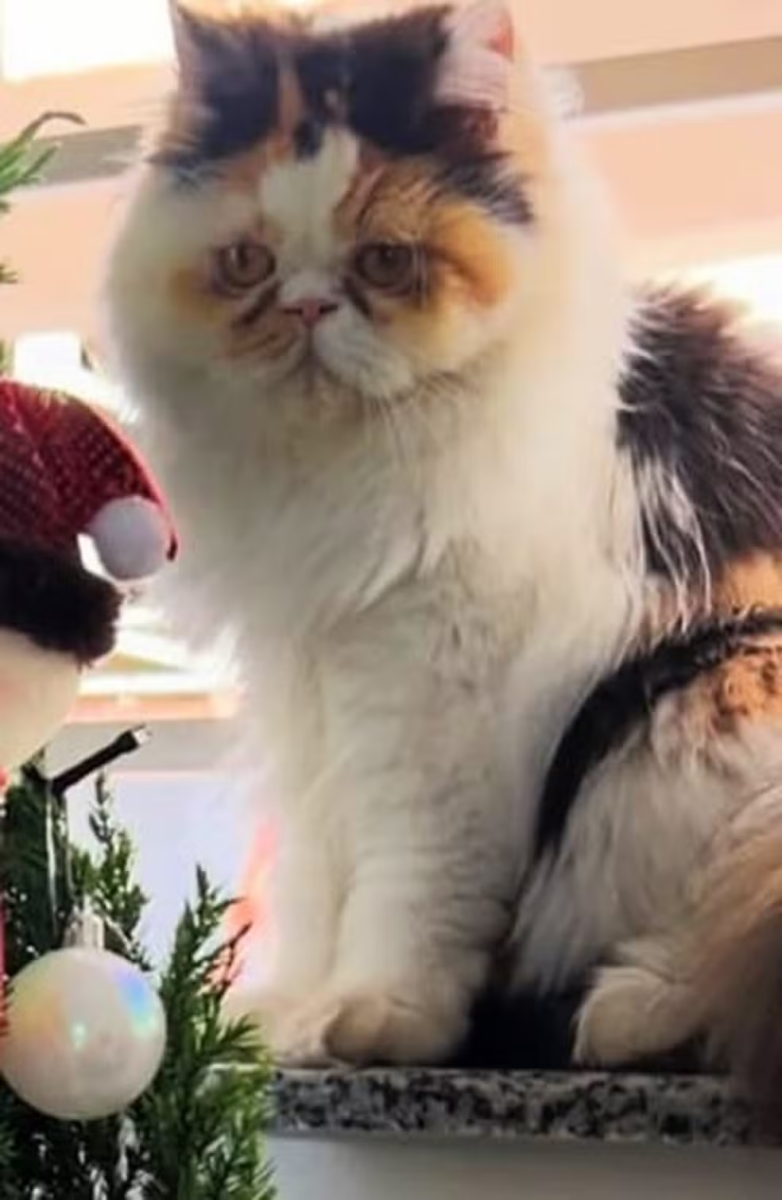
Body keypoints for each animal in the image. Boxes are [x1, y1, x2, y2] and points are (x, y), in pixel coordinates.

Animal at [105, 0, 782, 1100]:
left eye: (384, 260)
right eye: (248, 265)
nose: (306, 308)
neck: (341, 471)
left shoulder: (432, 698)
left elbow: (407, 886)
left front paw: (371, 1013)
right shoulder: (310, 694)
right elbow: (317, 877)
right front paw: (284, 1013)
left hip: (697, 713)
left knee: (721, 950)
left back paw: (629, 1012)